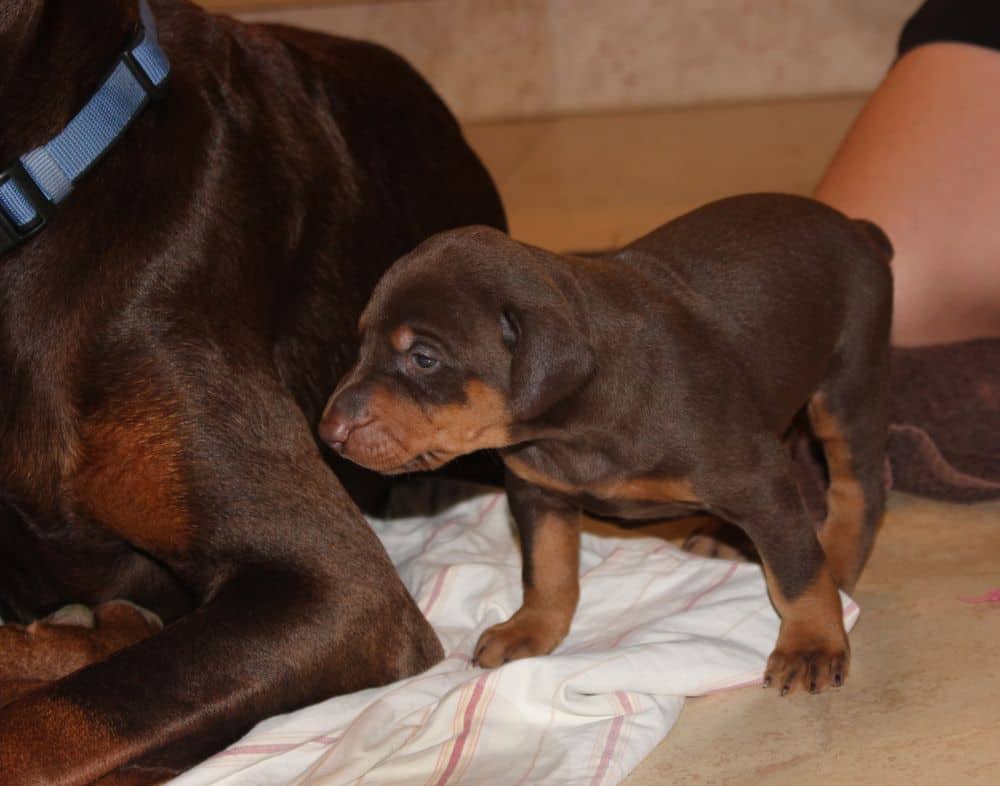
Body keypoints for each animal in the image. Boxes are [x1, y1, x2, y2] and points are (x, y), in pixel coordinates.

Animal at [324, 193, 896, 696]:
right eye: (361, 342)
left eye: (423, 358)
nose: (329, 433)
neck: (570, 429)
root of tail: (859, 229)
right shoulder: (536, 491)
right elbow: (547, 569)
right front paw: (530, 628)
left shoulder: (758, 476)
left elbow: (797, 573)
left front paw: (811, 643)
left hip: (846, 383)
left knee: (859, 486)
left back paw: (838, 559)